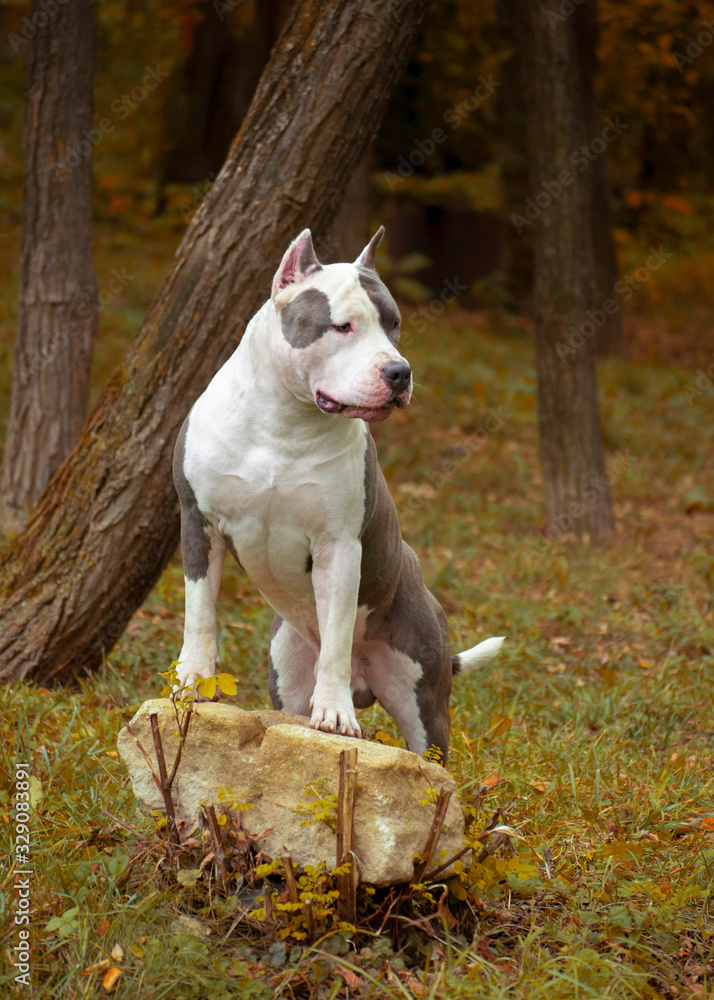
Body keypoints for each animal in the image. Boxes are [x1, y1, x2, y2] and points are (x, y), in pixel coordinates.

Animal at [174, 225, 500, 756]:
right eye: (343, 326)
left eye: (394, 325)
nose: (399, 372)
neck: (283, 423)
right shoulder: (198, 522)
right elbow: (200, 613)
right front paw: (192, 682)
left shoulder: (339, 546)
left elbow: (337, 635)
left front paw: (336, 715)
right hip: (286, 671)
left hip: (424, 700)